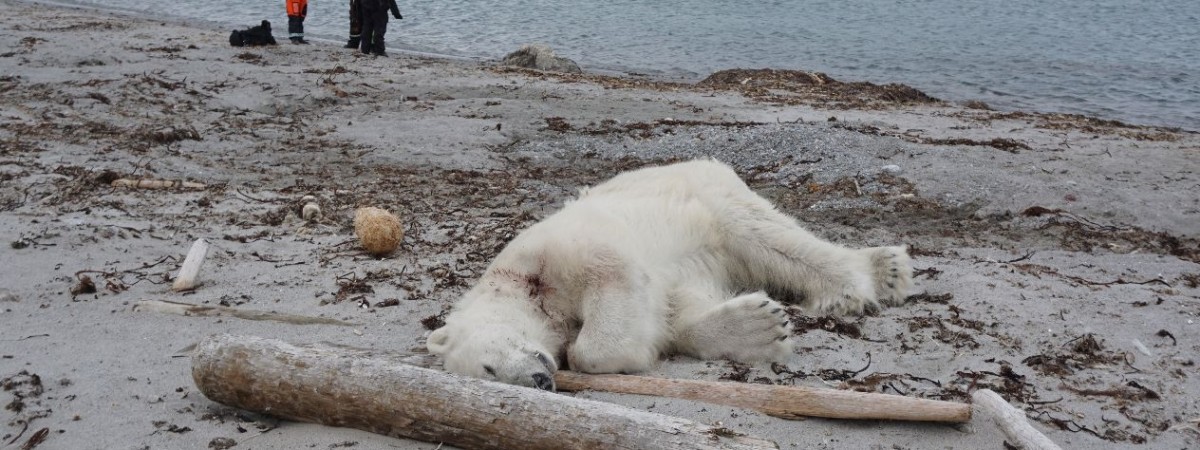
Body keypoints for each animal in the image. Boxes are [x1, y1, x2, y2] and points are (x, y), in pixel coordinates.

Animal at [427, 159, 912, 391]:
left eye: (488, 366)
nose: (540, 380)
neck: (522, 287)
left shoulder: (554, 252)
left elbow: (611, 281)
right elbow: (676, 312)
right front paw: (758, 326)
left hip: (709, 197)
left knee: (768, 238)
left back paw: (876, 275)